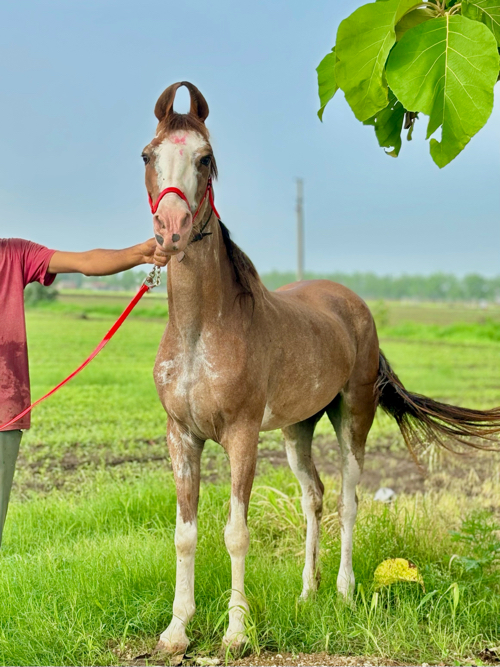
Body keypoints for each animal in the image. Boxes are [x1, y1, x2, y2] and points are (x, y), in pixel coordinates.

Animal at [142, 79, 500, 656]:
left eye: (206, 157)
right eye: (148, 155)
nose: (171, 230)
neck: (203, 331)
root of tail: (351, 303)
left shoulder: (242, 436)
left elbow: (236, 533)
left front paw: (236, 632)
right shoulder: (182, 436)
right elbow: (185, 533)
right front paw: (176, 631)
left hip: (352, 416)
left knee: (350, 499)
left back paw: (345, 591)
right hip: (297, 429)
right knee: (314, 496)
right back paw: (307, 594)